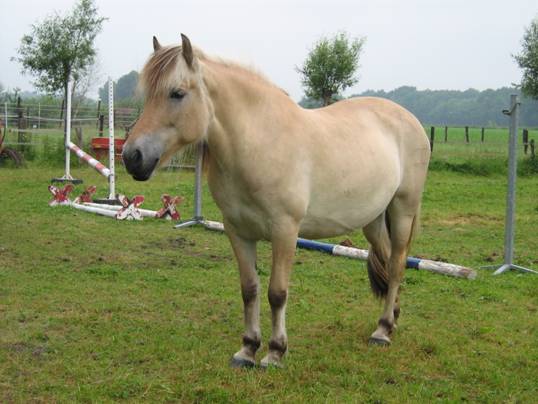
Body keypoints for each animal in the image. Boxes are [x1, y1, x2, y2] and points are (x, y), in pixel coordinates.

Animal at [123, 34, 430, 370]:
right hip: (372, 220)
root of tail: (409, 118)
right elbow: (249, 289)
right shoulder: (237, 231)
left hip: (402, 209)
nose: (131, 157)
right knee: (387, 262)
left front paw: (274, 351)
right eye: (148, 95)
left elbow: (277, 293)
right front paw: (247, 349)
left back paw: (383, 331)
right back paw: (390, 319)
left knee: (398, 264)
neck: (260, 142)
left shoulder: (285, 230)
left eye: (177, 93)